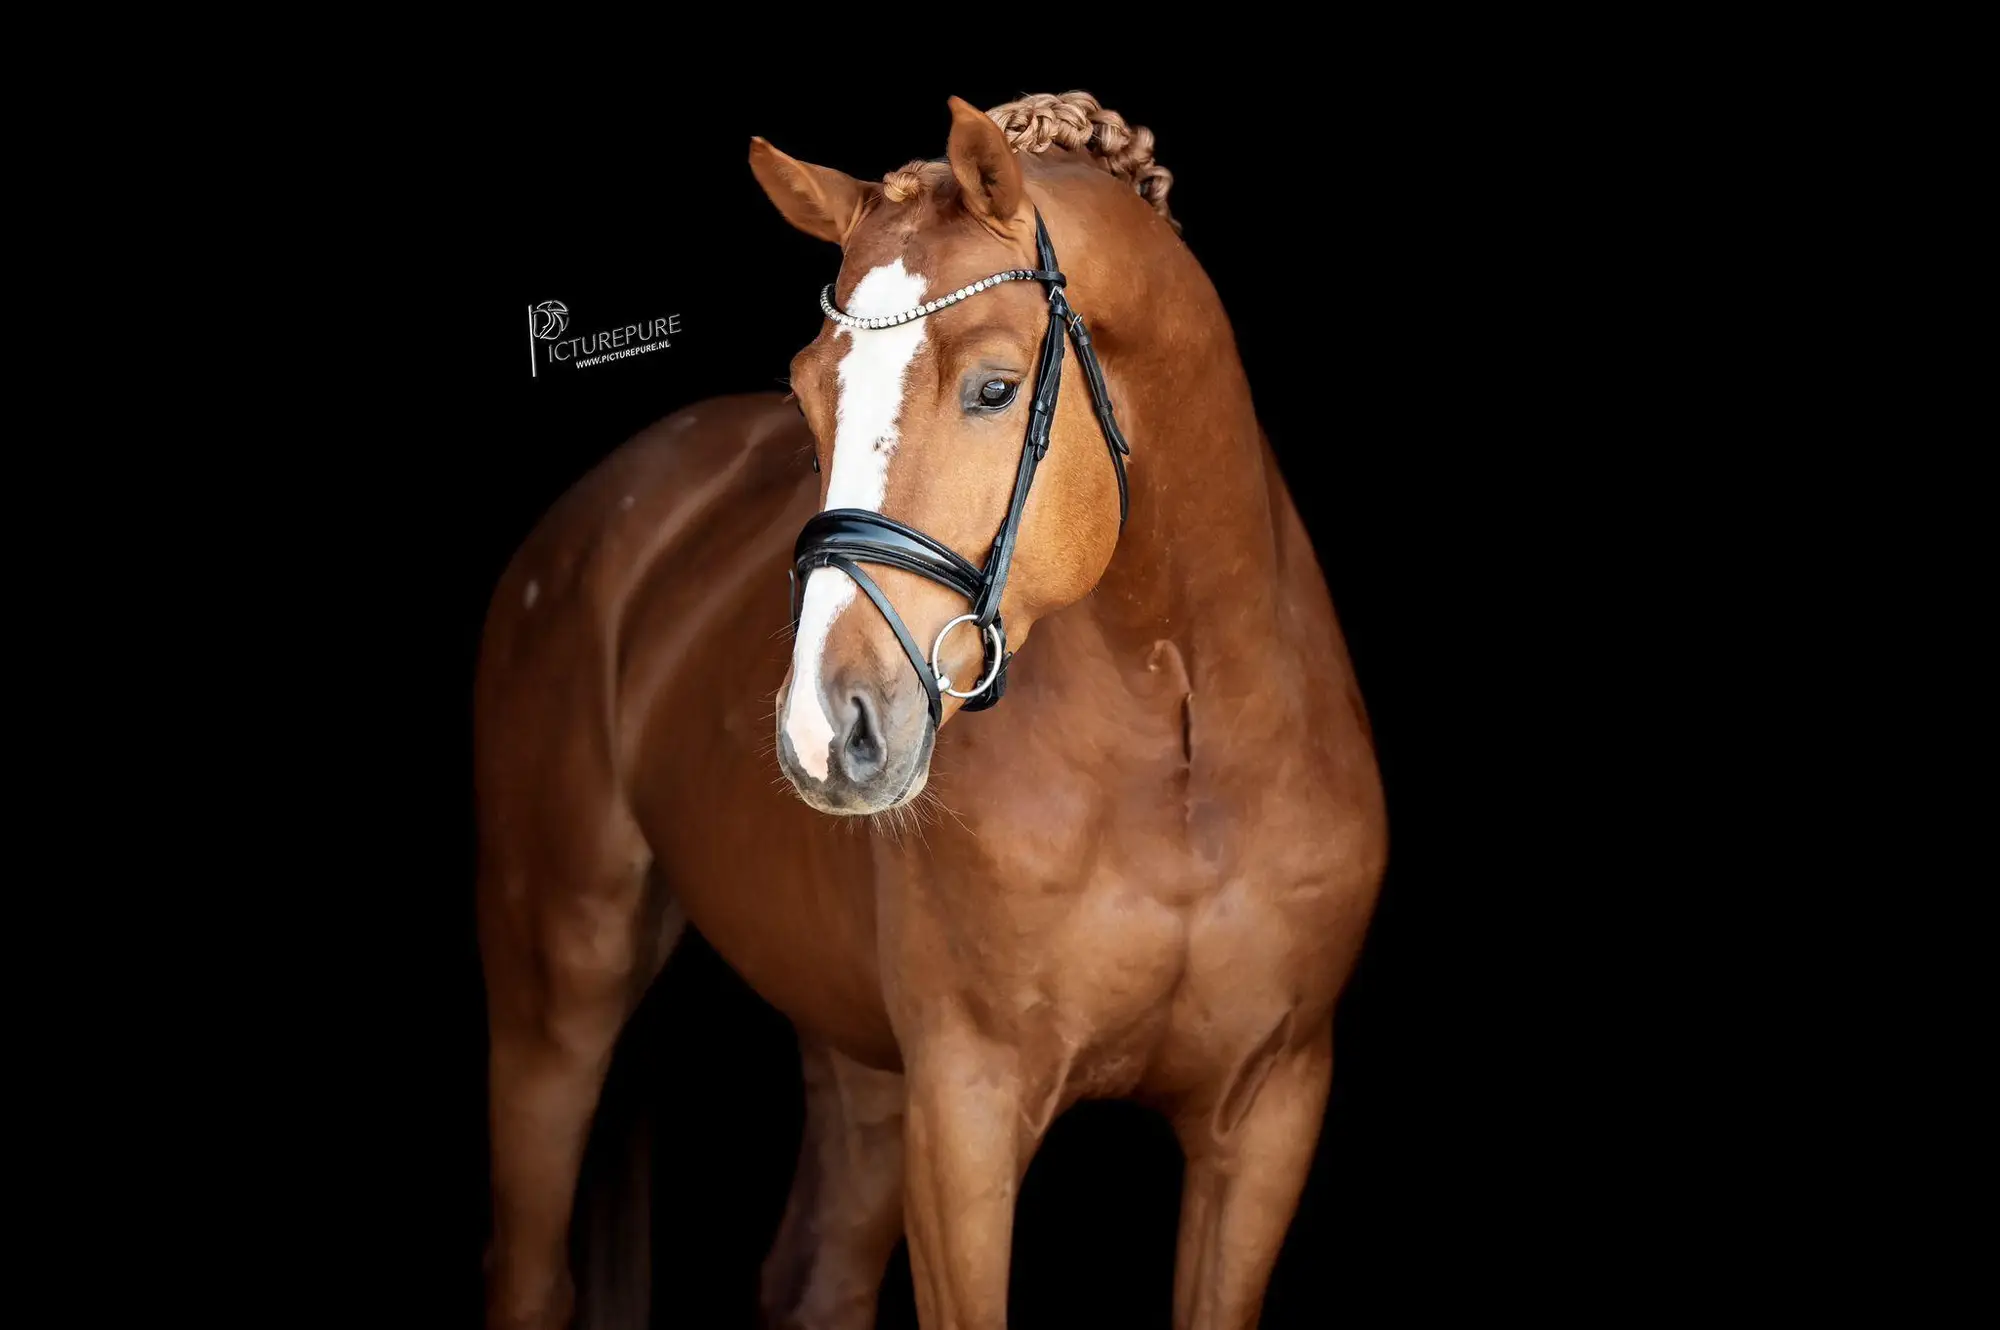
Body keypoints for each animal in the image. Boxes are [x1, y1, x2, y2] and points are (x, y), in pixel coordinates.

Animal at [476, 91, 1388, 1330]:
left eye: (994, 388)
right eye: (808, 391)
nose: (827, 730)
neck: (1184, 757)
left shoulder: (1268, 1113)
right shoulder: (965, 1111)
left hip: (855, 1060)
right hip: (554, 998)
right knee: (530, 1270)